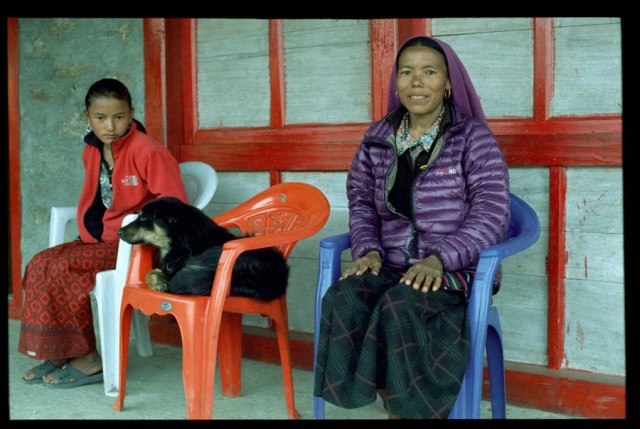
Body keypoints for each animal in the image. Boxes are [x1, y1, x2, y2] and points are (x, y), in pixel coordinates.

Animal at [117, 196, 289, 301]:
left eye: (144, 218)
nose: (118, 232)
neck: (183, 244)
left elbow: (152, 273)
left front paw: (158, 283)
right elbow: (152, 272)